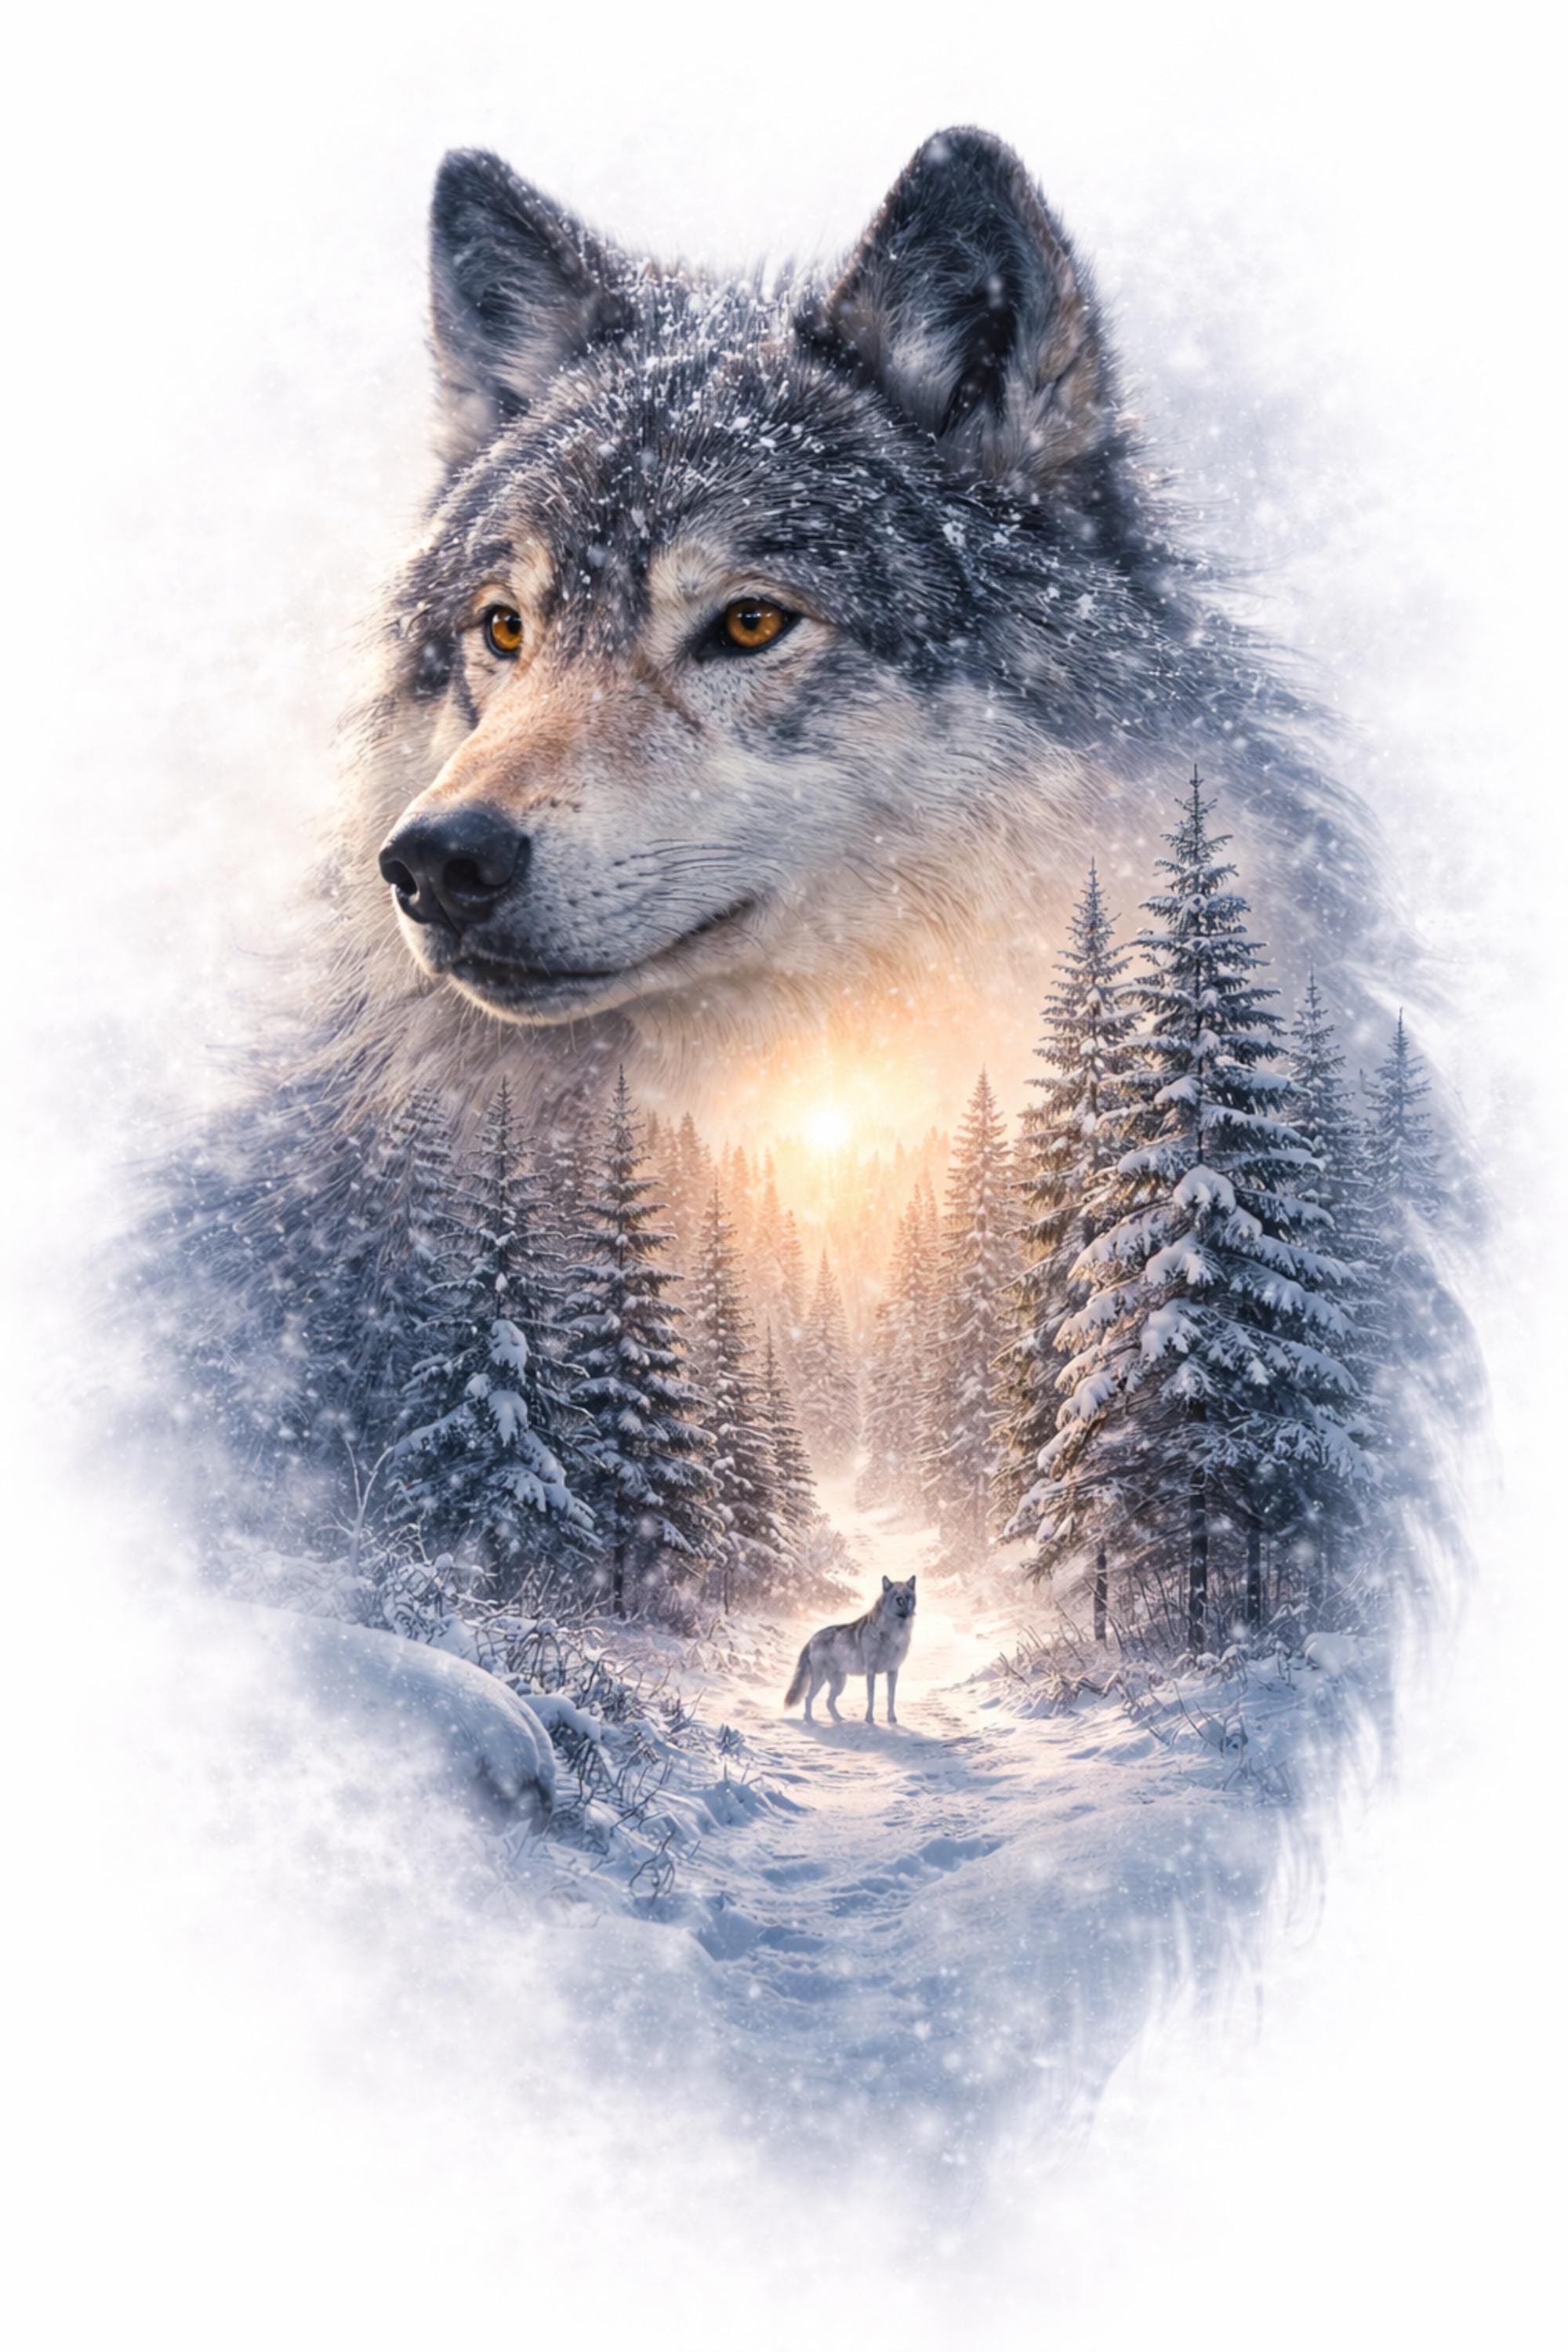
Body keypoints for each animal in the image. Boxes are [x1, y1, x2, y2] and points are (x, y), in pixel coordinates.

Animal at [784, 1577, 917, 1724]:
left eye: (909, 1598)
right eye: (899, 1600)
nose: (909, 1614)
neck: (892, 1635)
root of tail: (811, 1639)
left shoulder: (893, 1671)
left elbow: (891, 1698)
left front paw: (892, 1719)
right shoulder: (871, 1672)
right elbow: (871, 1698)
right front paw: (869, 1719)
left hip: (839, 1684)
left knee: (828, 1702)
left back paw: (839, 1720)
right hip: (822, 1681)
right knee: (808, 1698)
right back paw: (810, 1720)